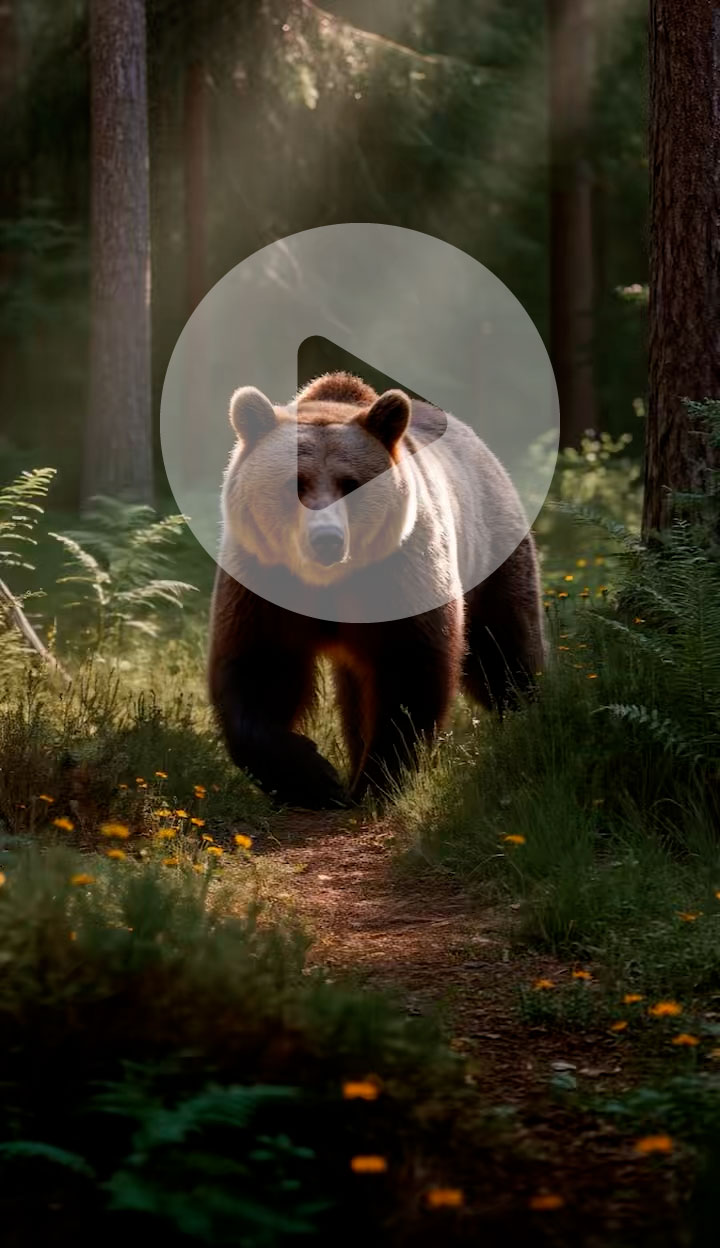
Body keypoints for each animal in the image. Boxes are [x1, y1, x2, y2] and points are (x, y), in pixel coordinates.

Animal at [208, 371, 546, 809]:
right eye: (295, 484)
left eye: (350, 484)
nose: (327, 540)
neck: (328, 584)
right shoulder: (263, 580)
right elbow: (258, 668)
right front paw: (313, 777)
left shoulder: (398, 573)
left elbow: (409, 669)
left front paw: (375, 780)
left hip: (492, 553)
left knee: (505, 649)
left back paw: (531, 719)